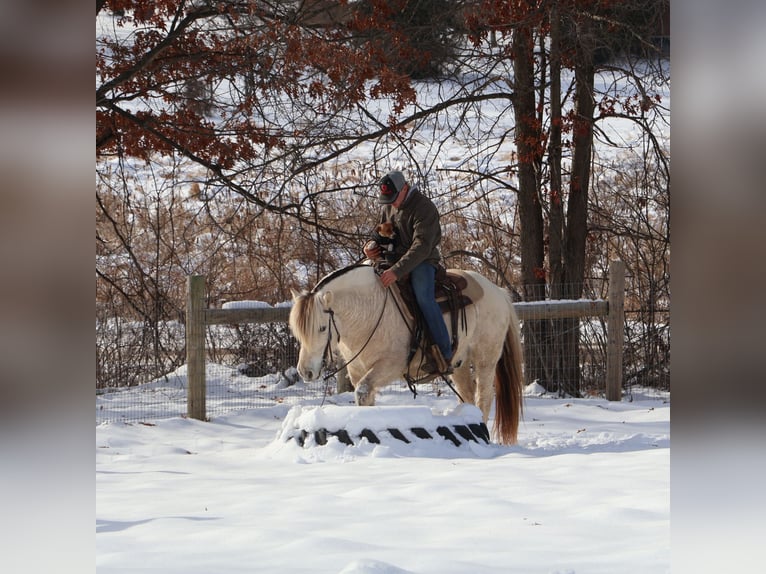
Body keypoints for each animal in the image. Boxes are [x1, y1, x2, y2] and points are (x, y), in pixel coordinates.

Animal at [289, 264, 524, 445]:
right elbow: (365, 397)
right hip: (460, 363)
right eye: (298, 332)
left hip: (486, 357)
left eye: (321, 328)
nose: (305, 372)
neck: (367, 310)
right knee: (467, 393)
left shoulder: (389, 366)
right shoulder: (357, 370)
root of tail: (498, 292)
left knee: (484, 395)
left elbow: (363, 392)